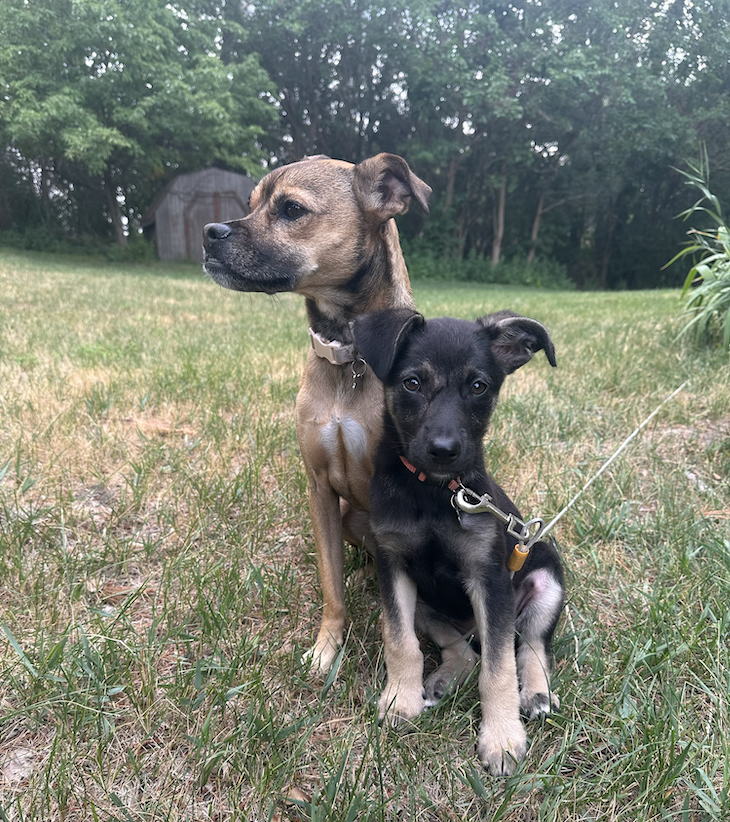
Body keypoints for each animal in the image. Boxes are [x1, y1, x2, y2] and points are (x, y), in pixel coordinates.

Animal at [202, 154, 430, 676]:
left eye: (291, 209)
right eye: (251, 203)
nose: (209, 232)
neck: (349, 359)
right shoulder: (320, 490)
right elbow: (332, 585)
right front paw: (327, 648)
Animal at [352, 310, 564, 780]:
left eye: (479, 386)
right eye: (412, 382)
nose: (444, 451)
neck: (435, 492)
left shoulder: (490, 578)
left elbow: (499, 668)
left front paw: (502, 737)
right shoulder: (393, 566)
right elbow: (401, 643)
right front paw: (401, 698)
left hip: (546, 575)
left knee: (532, 645)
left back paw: (536, 693)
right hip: (427, 606)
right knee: (462, 651)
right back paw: (441, 681)